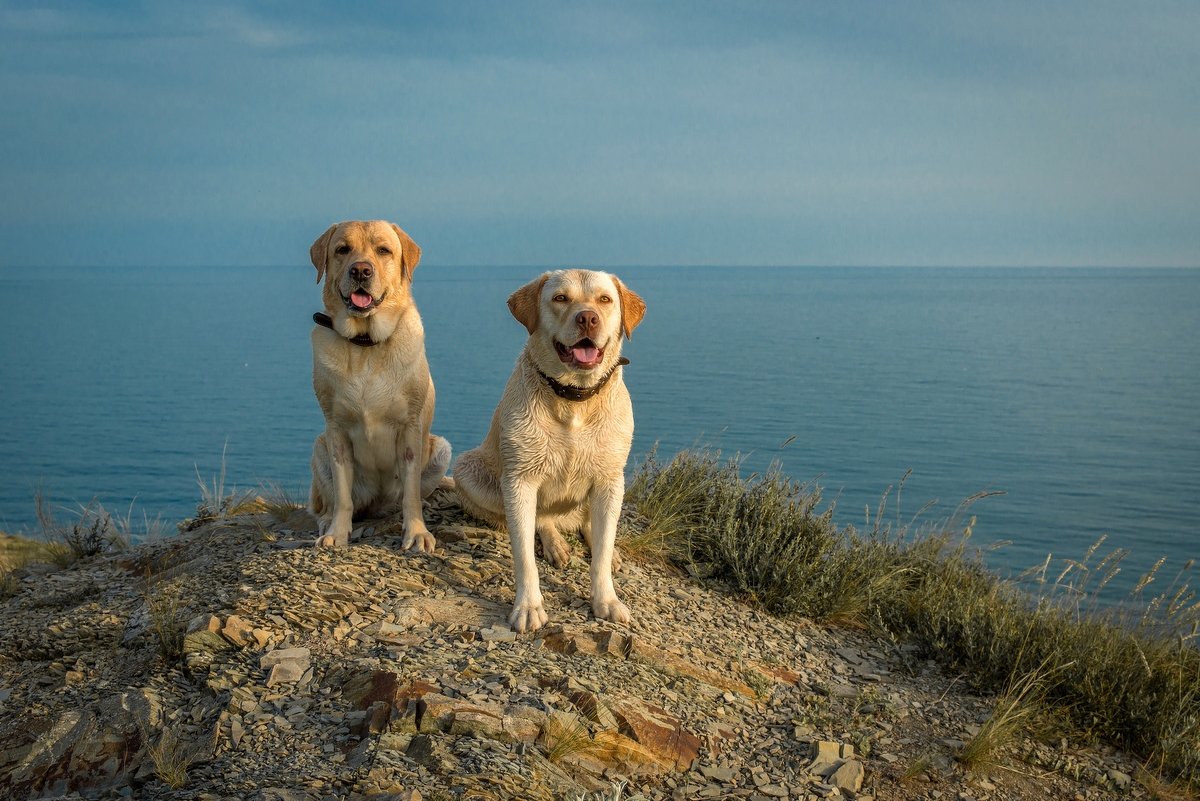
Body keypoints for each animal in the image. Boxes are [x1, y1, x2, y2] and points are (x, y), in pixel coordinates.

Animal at [309, 221, 451, 553]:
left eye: (383, 250)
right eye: (342, 249)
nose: (361, 270)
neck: (365, 344)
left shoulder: (410, 429)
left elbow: (411, 493)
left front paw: (417, 532)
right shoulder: (336, 431)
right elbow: (342, 495)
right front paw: (337, 531)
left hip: (440, 449)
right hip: (319, 447)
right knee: (328, 502)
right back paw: (327, 519)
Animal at [453, 268, 648, 633]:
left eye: (605, 299)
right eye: (560, 298)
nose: (588, 318)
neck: (574, 397)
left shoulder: (610, 479)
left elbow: (601, 553)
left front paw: (606, 599)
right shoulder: (519, 481)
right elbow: (524, 556)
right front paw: (528, 606)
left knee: (592, 525)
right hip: (467, 470)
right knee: (542, 519)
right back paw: (554, 542)